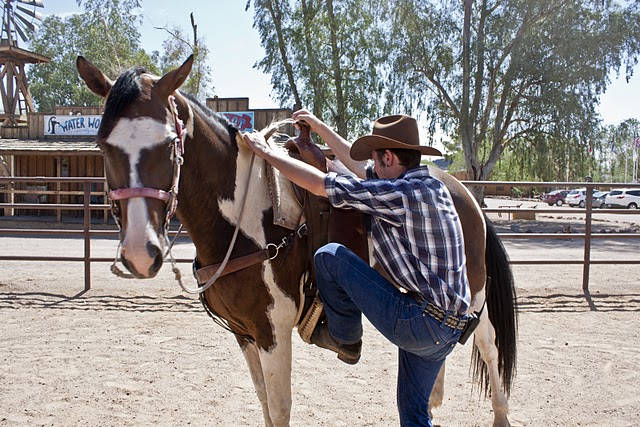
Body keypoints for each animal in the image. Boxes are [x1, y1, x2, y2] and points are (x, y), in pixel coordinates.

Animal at [76, 55, 516, 426]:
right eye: (103, 144)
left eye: (169, 143)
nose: (139, 253)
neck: (245, 217)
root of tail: (458, 189)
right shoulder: (245, 334)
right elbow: (265, 404)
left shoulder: (273, 332)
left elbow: (280, 406)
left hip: (474, 294)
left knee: (489, 343)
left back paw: (499, 414)